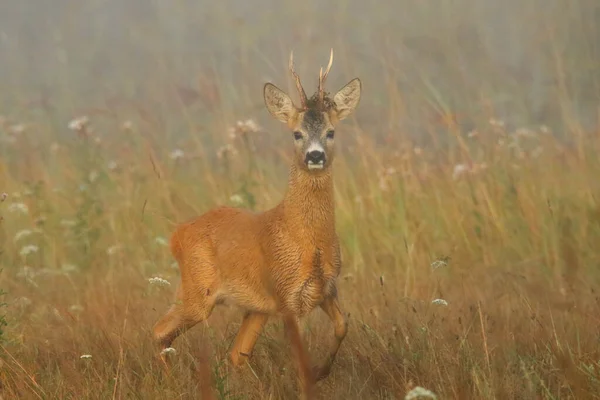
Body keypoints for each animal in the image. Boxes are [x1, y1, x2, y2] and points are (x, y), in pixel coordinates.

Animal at [155, 49, 360, 384]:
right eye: (296, 134)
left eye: (331, 132)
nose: (315, 156)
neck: (307, 240)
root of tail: (177, 233)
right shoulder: (288, 296)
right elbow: (300, 355)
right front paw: (311, 378)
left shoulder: (326, 288)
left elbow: (343, 327)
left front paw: (321, 372)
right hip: (197, 290)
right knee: (160, 331)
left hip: (255, 308)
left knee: (236, 353)